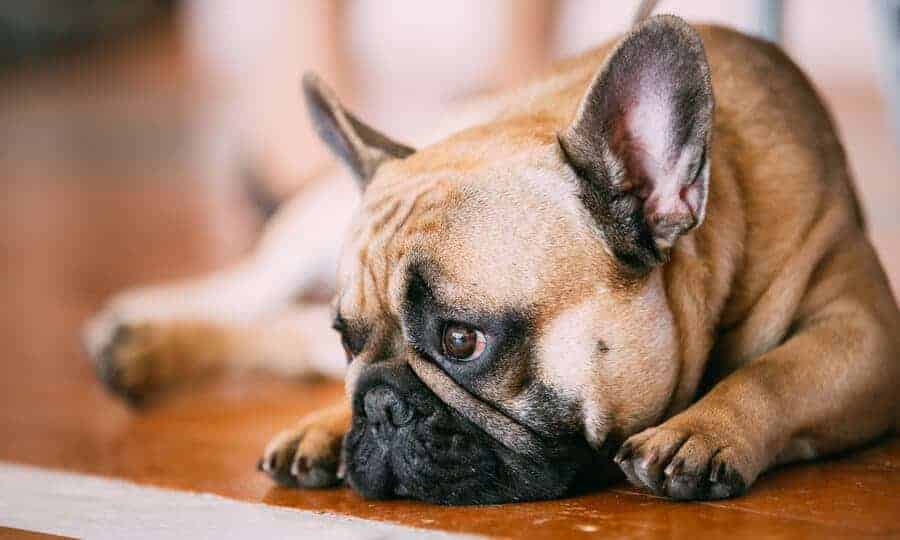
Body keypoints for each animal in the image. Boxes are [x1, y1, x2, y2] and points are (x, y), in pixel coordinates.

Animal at [84, 11, 900, 502]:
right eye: (348, 340)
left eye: (460, 340)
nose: (377, 406)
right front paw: (327, 421)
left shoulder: (864, 333)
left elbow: (777, 371)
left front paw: (703, 430)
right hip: (303, 231)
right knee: (253, 290)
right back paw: (136, 330)